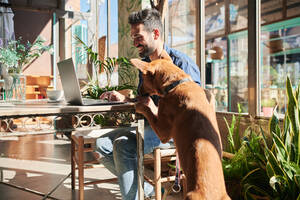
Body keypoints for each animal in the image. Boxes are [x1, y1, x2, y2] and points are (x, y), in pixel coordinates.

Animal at [131, 51, 230, 200]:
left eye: (143, 77)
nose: (138, 92)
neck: (176, 84)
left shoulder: (163, 132)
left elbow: (148, 110)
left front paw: (141, 104)